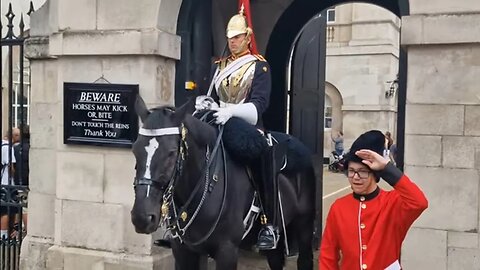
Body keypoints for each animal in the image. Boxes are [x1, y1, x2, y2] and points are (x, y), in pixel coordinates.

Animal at [131, 97, 316, 270]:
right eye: (135, 149)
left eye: (171, 152)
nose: (142, 218)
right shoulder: (184, 251)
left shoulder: (227, 251)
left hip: (304, 226)